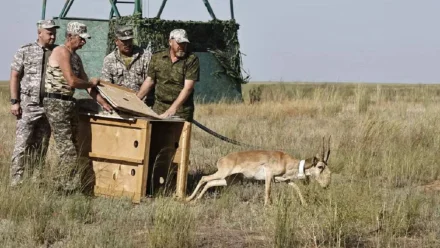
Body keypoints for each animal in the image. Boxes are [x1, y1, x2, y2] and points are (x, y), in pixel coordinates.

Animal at [186, 137, 334, 204]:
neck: (285, 160)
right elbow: (267, 192)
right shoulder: (268, 175)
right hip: (223, 174)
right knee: (204, 178)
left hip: (229, 180)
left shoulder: (284, 180)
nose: (327, 185)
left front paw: (305, 204)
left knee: (210, 183)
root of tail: (222, 159)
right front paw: (267, 206)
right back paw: (188, 198)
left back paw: (195, 199)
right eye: (320, 166)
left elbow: (296, 188)